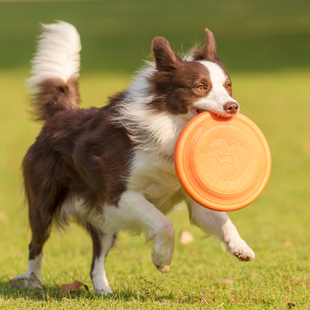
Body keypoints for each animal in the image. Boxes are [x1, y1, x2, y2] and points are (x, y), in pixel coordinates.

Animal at [11, 21, 254, 294]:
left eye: (228, 86)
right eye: (201, 87)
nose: (233, 106)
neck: (171, 130)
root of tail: (61, 114)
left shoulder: (192, 198)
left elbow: (223, 220)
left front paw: (241, 247)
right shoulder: (119, 194)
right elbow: (164, 224)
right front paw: (162, 260)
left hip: (104, 221)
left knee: (97, 259)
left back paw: (103, 290)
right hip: (44, 202)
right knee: (36, 244)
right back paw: (34, 282)